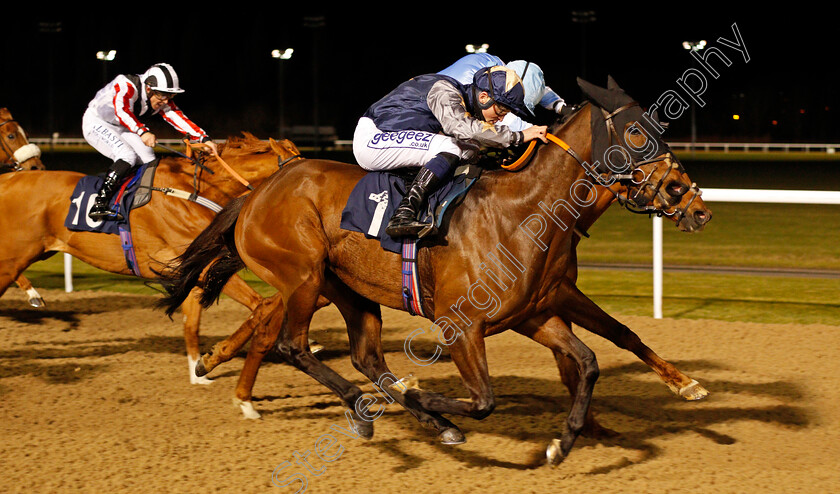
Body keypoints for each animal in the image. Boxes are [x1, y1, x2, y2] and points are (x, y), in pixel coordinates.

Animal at [0, 133, 302, 384]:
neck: (194, 190)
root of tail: (7, 181)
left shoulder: (189, 270)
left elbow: (193, 323)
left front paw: (199, 370)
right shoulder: (193, 263)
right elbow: (261, 305)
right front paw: (212, 359)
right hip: (11, 260)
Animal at [156, 75, 708, 466]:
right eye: (636, 131)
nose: (692, 202)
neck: (525, 213)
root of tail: (257, 193)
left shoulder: (534, 313)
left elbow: (593, 359)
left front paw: (566, 441)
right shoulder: (461, 324)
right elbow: (483, 399)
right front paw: (424, 394)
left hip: (351, 290)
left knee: (365, 357)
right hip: (302, 276)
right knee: (292, 345)